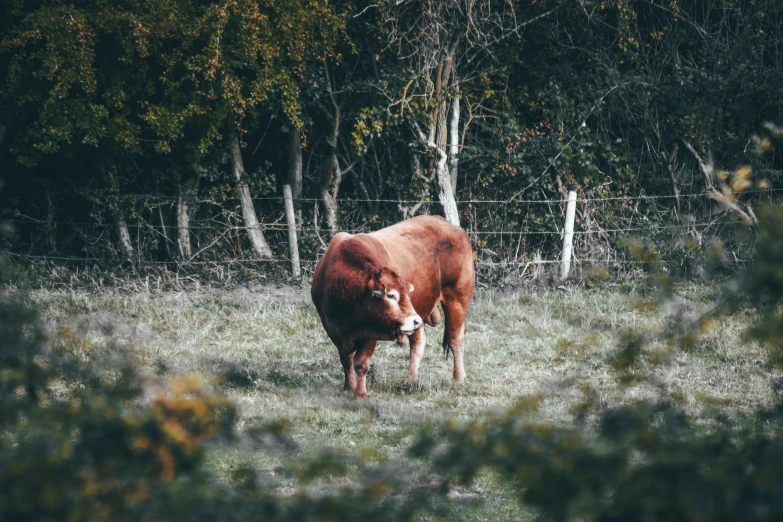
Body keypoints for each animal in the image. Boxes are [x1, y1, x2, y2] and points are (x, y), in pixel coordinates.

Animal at [312, 215, 478, 398]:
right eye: (391, 295)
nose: (414, 320)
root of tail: (448, 224)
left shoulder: (373, 329)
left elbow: (361, 363)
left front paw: (360, 395)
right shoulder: (331, 327)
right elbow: (346, 360)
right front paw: (349, 387)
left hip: (456, 300)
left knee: (455, 338)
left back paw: (458, 377)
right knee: (418, 342)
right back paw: (411, 379)